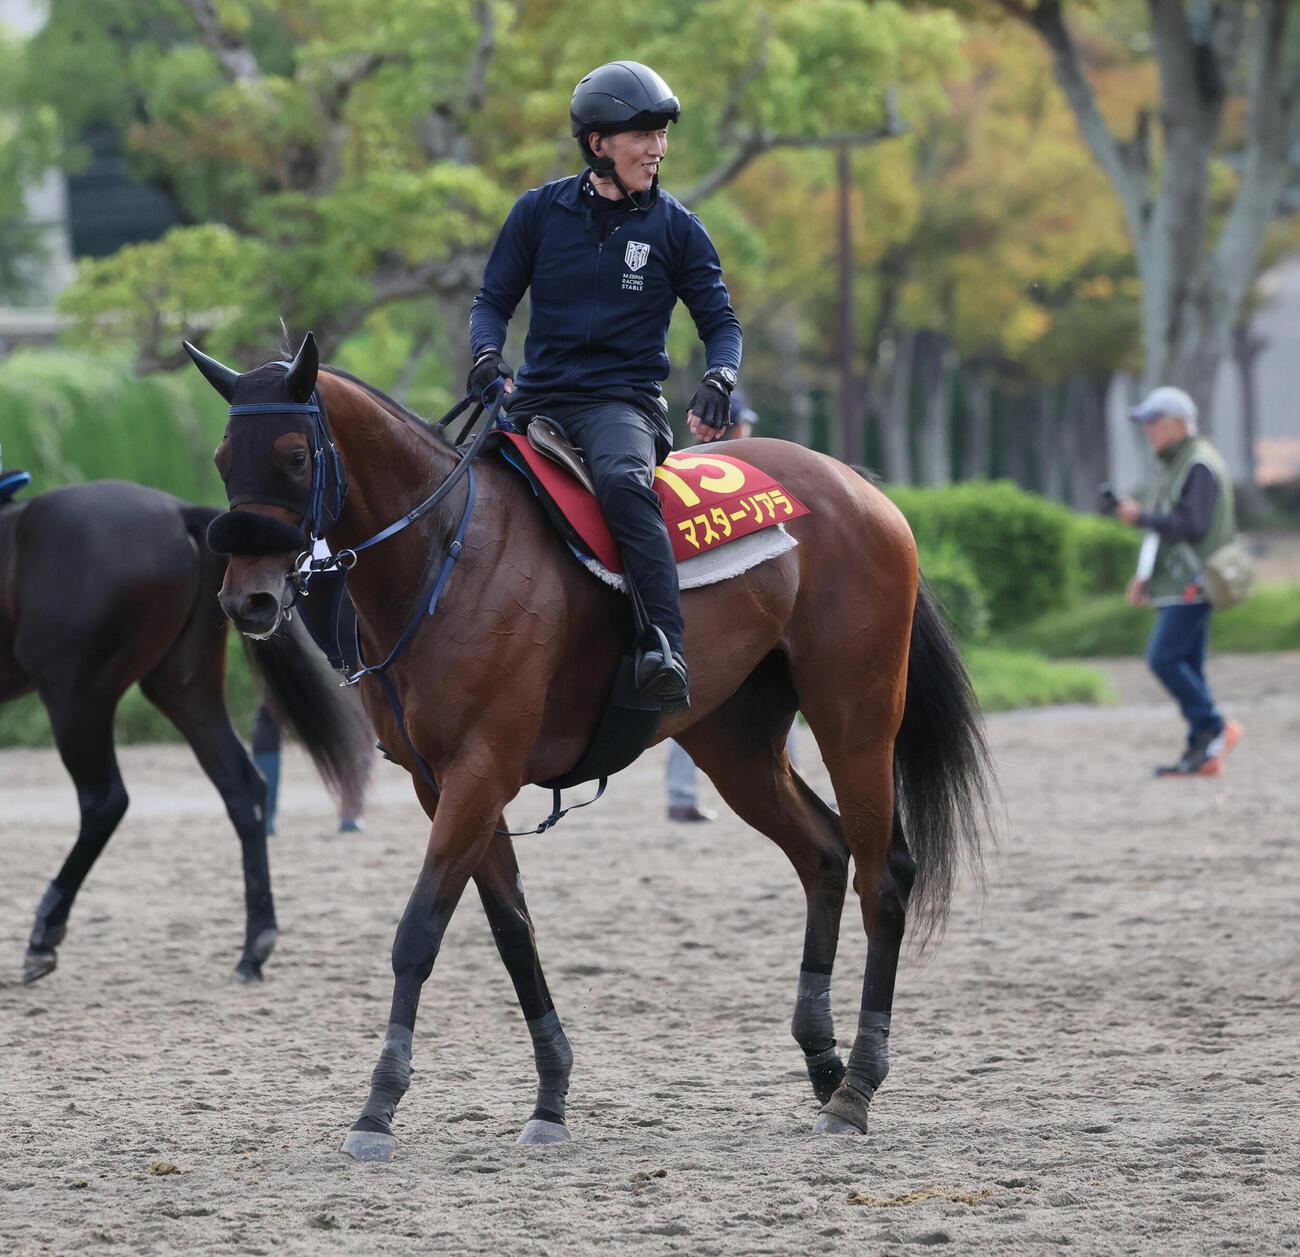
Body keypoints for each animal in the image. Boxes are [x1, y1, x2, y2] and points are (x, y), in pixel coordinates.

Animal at [0, 478, 373, 984]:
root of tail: (177, 512)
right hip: (184, 688)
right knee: (242, 788)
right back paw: (254, 946)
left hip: (75, 694)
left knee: (104, 801)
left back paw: (44, 932)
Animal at [187, 332, 992, 1159]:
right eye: (223, 456)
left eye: (292, 455)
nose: (247, 598)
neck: (447, 553)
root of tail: (862, 488)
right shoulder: (442, 784)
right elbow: (514, 934)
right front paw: (550, 1097)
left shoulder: (481, 771)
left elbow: (418, 932)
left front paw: (378, 1106)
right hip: (734, 742)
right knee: (825, 852)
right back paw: (824, 1060)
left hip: (854, 715)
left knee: (883, 876)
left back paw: (856, 1086)